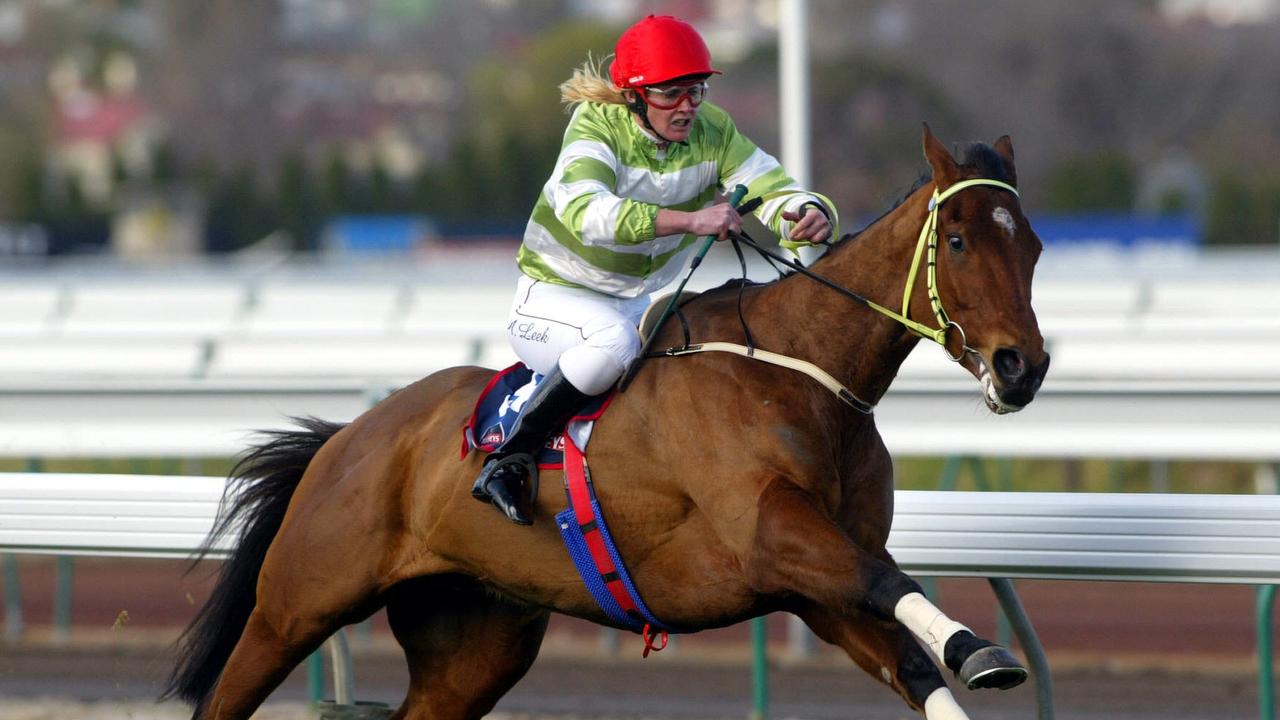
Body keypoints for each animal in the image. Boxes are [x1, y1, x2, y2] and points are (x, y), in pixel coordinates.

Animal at [167, 126, 1049, 717]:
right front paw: (982, 651)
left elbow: (907, 652)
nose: (1022, 367)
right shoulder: (772, 529)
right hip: (295, 607)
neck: (796, 373)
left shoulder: (813, 587)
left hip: (474, 641)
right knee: (230, 690)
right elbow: (890, 583)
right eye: (959, 239)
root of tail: (347, 437)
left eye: (1033, 246)